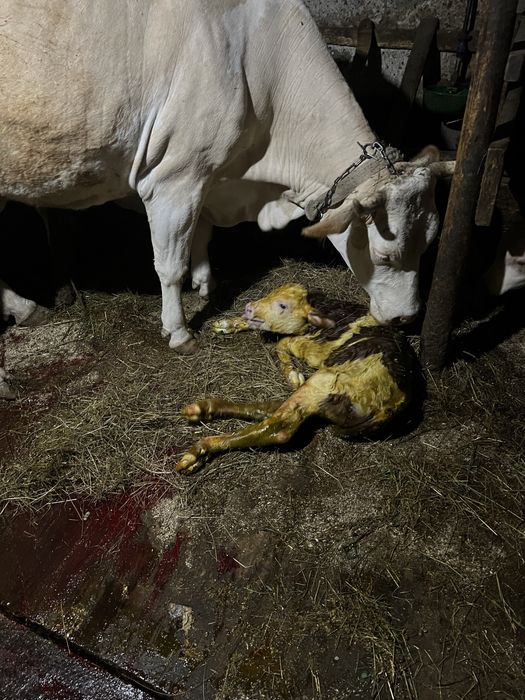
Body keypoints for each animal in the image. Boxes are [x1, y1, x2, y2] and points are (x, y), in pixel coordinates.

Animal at [0, 0, 454, 400]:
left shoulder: (206, 177)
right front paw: (179, 331)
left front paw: (206, 283)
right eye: (384, 254)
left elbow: (200, 234)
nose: (407, 317)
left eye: (430, 243)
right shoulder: (174, 177)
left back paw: (27, 309)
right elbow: (170, 265)